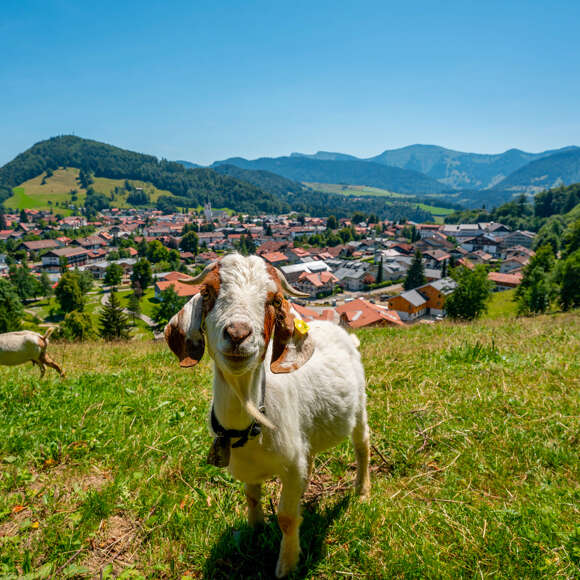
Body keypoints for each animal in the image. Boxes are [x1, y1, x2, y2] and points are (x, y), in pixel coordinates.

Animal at [165, 254, 370, 576]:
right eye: (208, 292)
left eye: (274, 300)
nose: (238, 333)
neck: (252, 419)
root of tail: (337, 328)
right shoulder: (254, 467)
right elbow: (251, 497)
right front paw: (255, 532)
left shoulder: (291, 466)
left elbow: (286, 517)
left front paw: (287, 564)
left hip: (359, 405)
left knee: (362, 445)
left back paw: (362, 491)